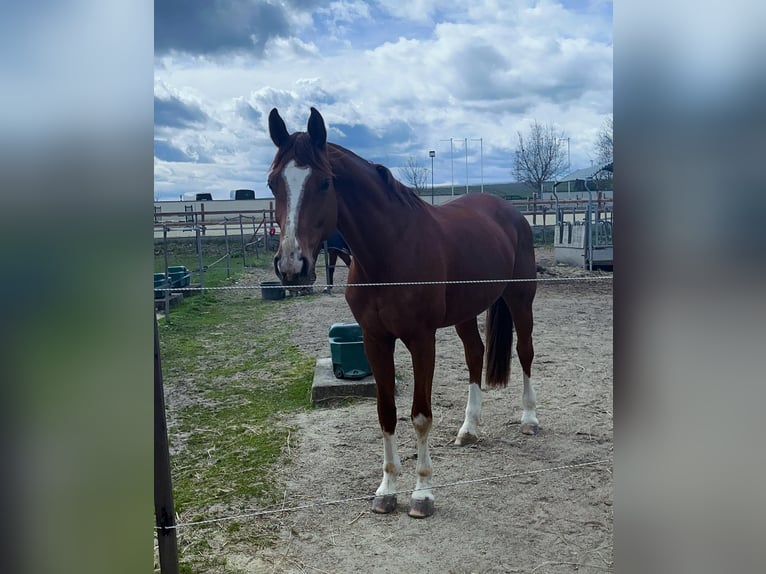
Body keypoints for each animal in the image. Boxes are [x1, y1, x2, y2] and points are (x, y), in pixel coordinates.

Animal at [270, 107, 540, 516]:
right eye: (273, 183)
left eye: (324, 183)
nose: (291, 265)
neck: (390, 252)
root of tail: (510, 212)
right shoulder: (375, 339)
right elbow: (386, 414)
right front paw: (386, 490)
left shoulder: (421, 340)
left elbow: (420, 416)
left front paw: (422, 494)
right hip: (465, 313)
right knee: (475, 354)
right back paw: (469, 429)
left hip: (520, 299)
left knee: (525, 352)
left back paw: (529, 418)